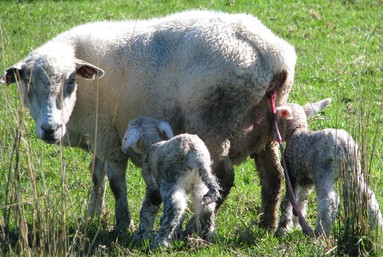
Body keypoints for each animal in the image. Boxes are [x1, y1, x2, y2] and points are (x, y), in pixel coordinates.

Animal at [0, 9, 296, 230]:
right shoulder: (100, 134)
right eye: (26, 83)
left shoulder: (108, 133)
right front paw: (93, 215)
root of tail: (271, 54)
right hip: (263, 123)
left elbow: (115, 183)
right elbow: (96, 176)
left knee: (221, 177)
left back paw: (192, 229)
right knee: (273, 175)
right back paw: (267, 224)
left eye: (71, 81)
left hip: (214, 120)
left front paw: (122, 224)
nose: (50, 129)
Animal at [121, 116, 220, 248]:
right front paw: (178, 236)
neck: (151, 144)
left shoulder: (153, 188)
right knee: (205, 208)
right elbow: (181, 218)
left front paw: (141, 236)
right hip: (200, 183)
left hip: (171, 182)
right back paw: (206, 239)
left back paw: (159, 243)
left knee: (174, 209)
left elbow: (147, 210)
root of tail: (195, 153)